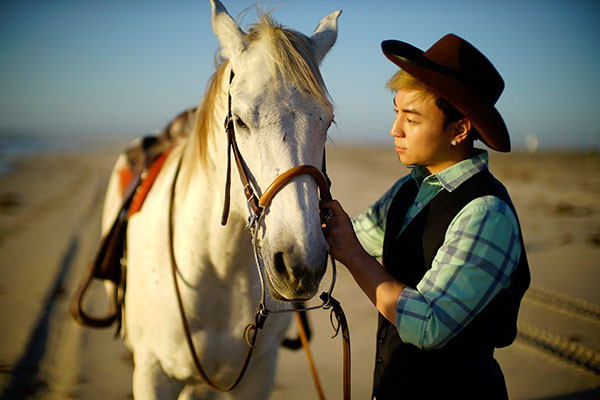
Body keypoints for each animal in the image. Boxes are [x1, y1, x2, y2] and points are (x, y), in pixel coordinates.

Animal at [101, 1, 340, 398]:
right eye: (239, 120)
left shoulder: (258, 373)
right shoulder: (152, 372)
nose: (299, 264)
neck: (217, 267)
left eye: (327, 122)